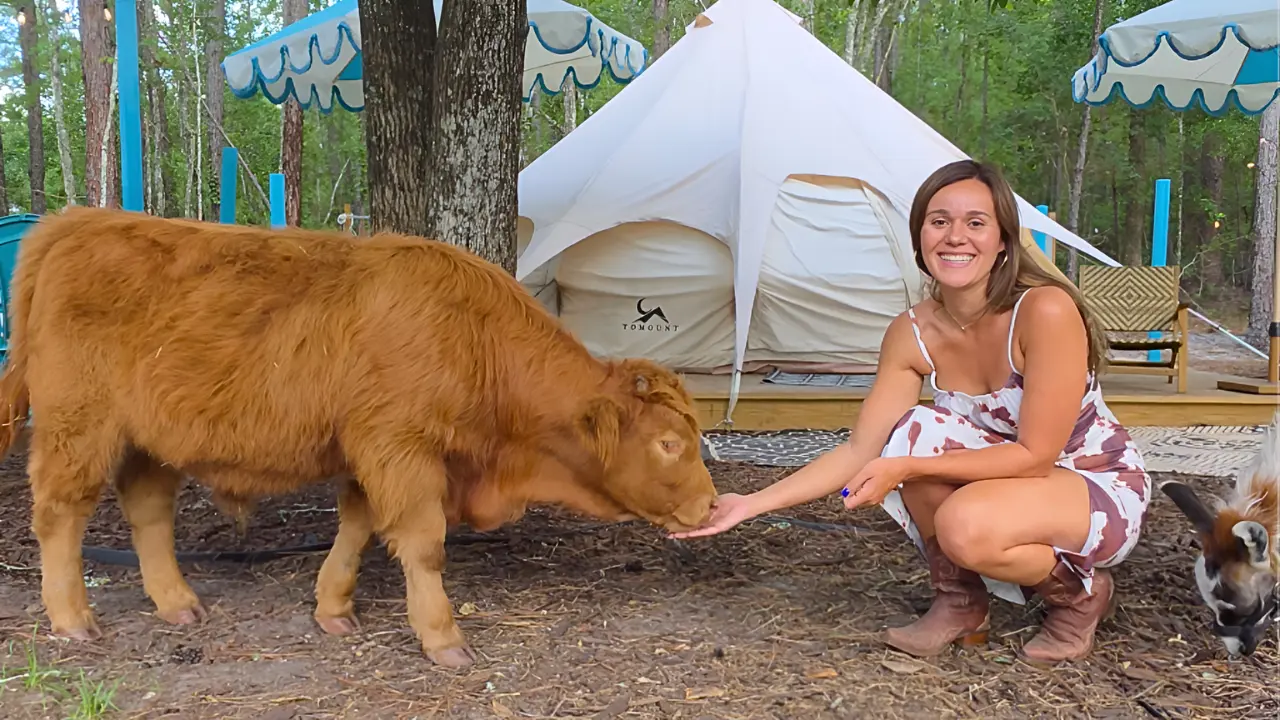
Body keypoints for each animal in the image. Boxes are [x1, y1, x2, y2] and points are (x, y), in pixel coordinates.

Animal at [0, 206, 718, 668]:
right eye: (668, 443)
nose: (710, 505)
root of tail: (76, 221)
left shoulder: (371, 452)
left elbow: (358, 524)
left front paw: (333, 608)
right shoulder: (399, 445)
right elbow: (423, 542)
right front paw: (442, 638)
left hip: (149, 439)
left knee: (148, 512)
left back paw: (178, 603)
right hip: (77, 426)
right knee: (59, 514)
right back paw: (72, 620)